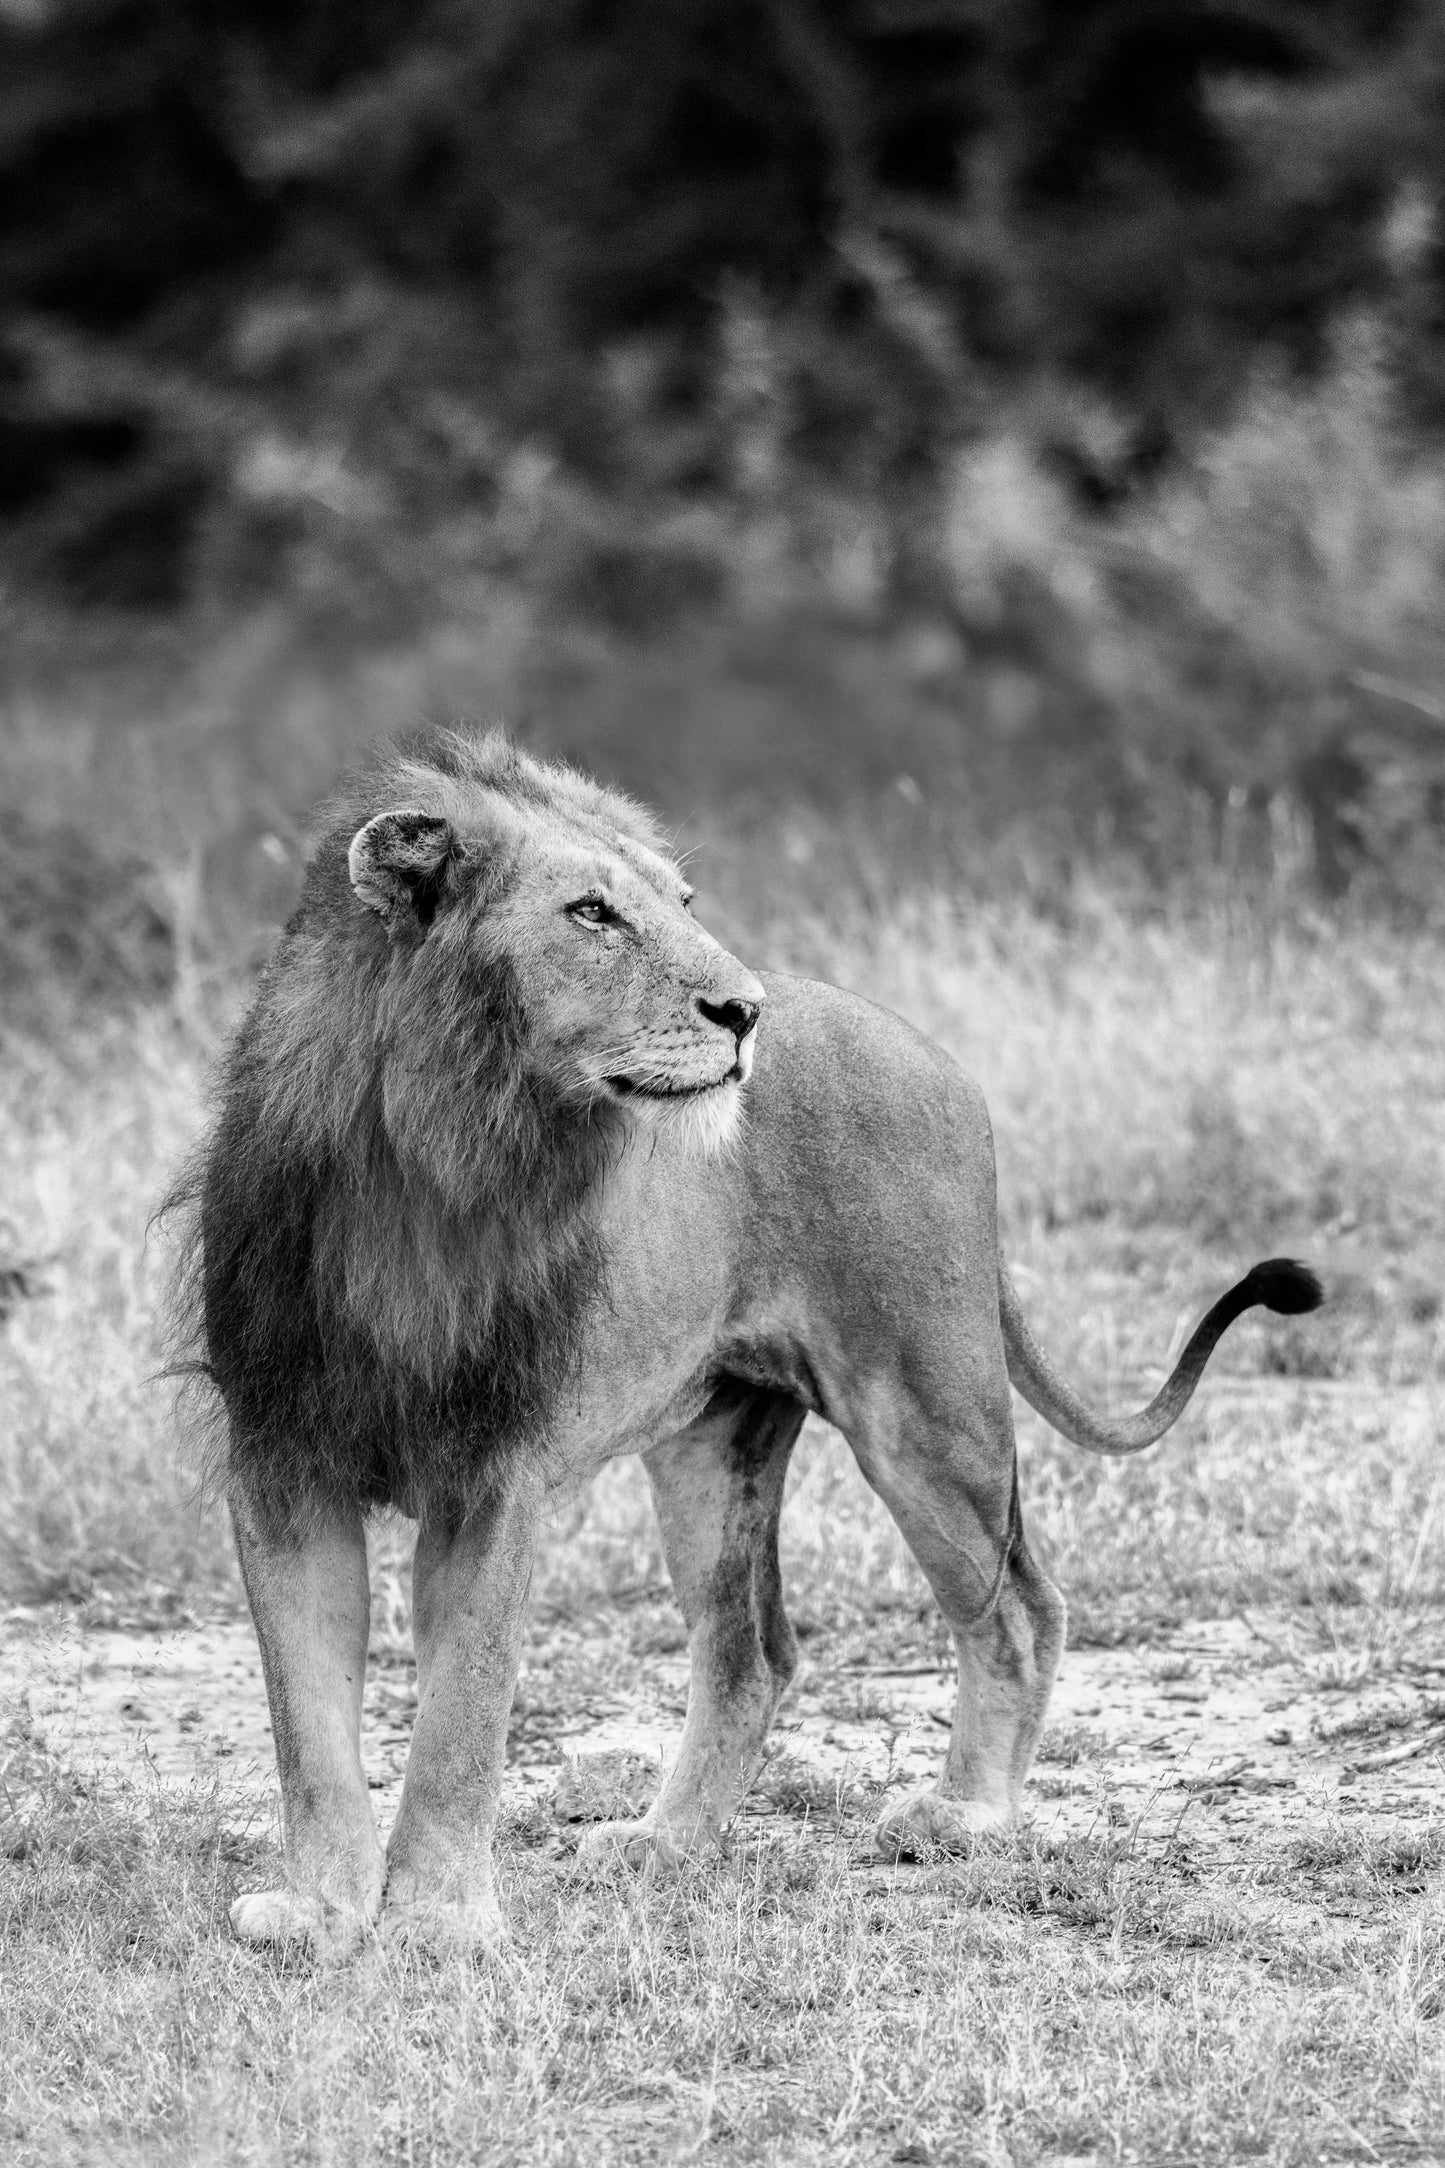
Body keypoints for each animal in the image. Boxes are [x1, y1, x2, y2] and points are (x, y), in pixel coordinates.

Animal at [173, 728, 1322, 1959]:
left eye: (681, 902)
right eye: (591, 912)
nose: (743, 1010)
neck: (428, 1165)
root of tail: (937, 1055)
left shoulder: (496, 1474)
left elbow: (460, 1719)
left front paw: (436, 1920)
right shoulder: (282, 1462)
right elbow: (306, 1724)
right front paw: (316, 1912)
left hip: (924, 1406)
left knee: (1017, 1604)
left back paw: (965, 1815)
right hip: (709, 1445)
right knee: (750, 1649)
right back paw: (665, 1843)